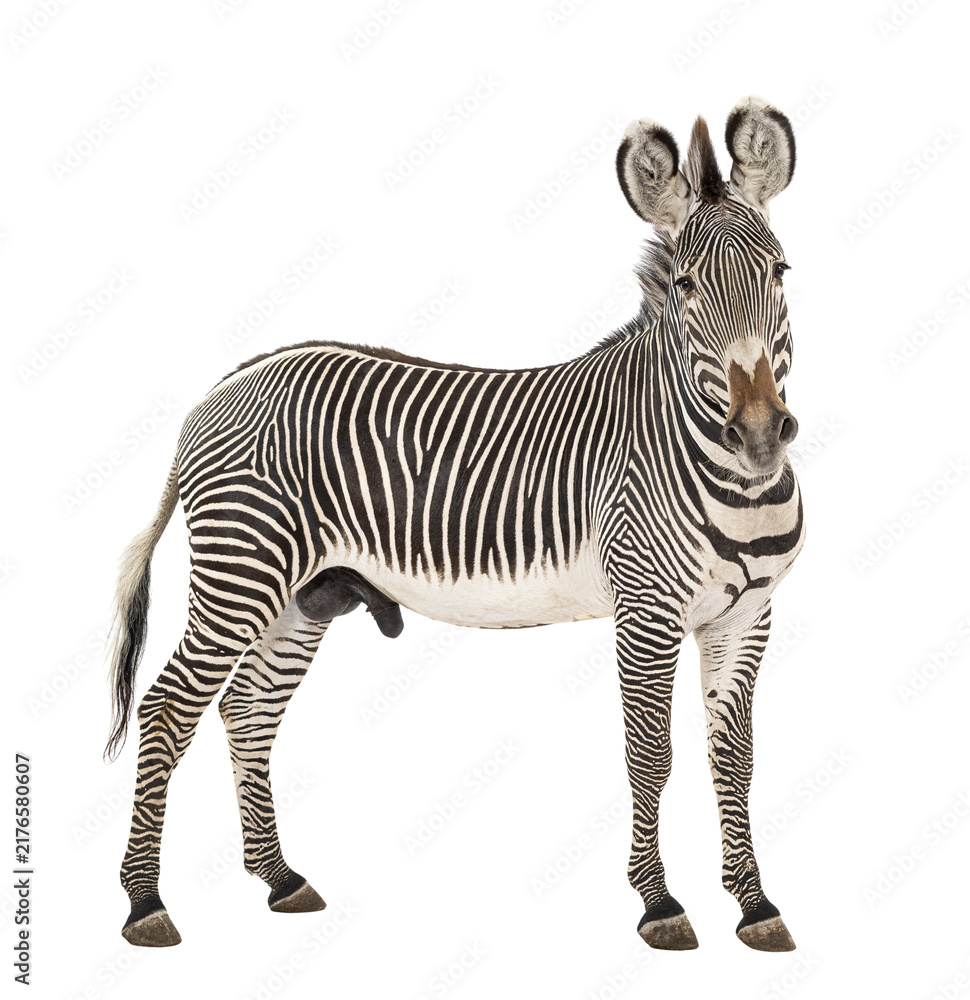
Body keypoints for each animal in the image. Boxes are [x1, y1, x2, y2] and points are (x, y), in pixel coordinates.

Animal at [106, 95, 804, 953]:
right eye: (686, 283)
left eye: (779, 272)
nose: (761, 432)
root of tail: (220, 389)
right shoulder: (647, 610)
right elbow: (650, 753)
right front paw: (660, 903)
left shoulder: (746, 615)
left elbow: (734, 759)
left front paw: (755, 904)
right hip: (242, 574)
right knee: (170, 708)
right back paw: (145, 903)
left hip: (302, 594)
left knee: (247, 712)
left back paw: (279, 878)